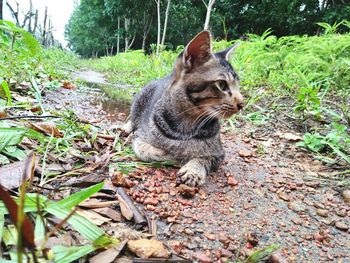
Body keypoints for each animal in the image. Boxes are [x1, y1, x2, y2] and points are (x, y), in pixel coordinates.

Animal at [129, 31, 243, 188]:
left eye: (238, 85)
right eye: (222, 84)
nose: (242, 103)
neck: (187, 124)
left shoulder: (218, 153)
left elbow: (202, 158)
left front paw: (192, 170)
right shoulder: (139, 137)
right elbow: (149, 151)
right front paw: (175, 155)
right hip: (139, 101)